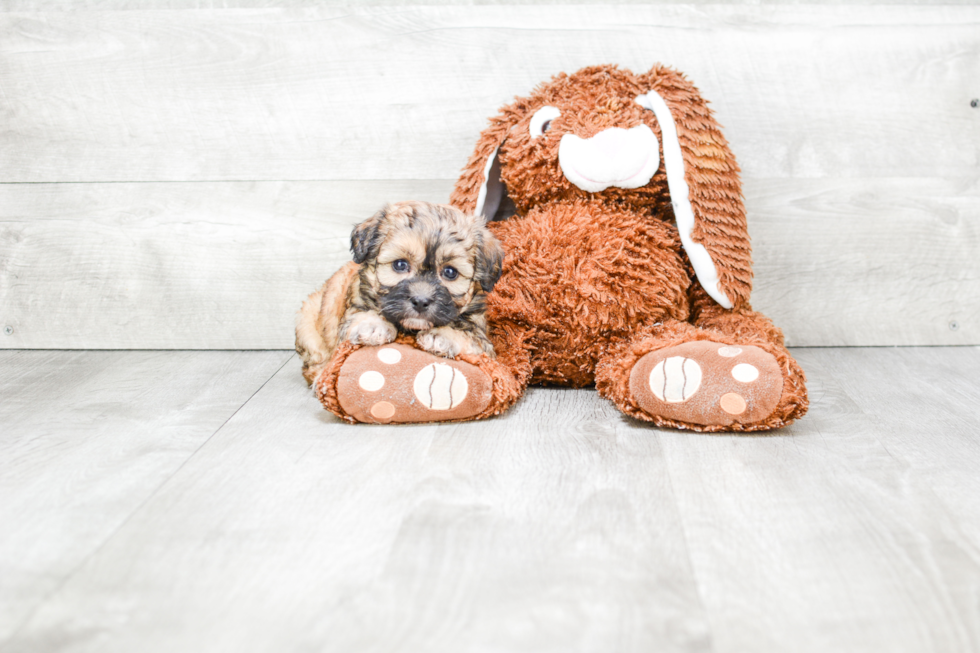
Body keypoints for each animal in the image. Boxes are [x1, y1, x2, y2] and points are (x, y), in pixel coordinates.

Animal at [296, 199, 506, 382]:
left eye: (449, 272)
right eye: (400, 265)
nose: (420, 301)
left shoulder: (483, 341)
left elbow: (469, 336)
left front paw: (443, 336)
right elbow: (361, 317)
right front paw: (372, 325)